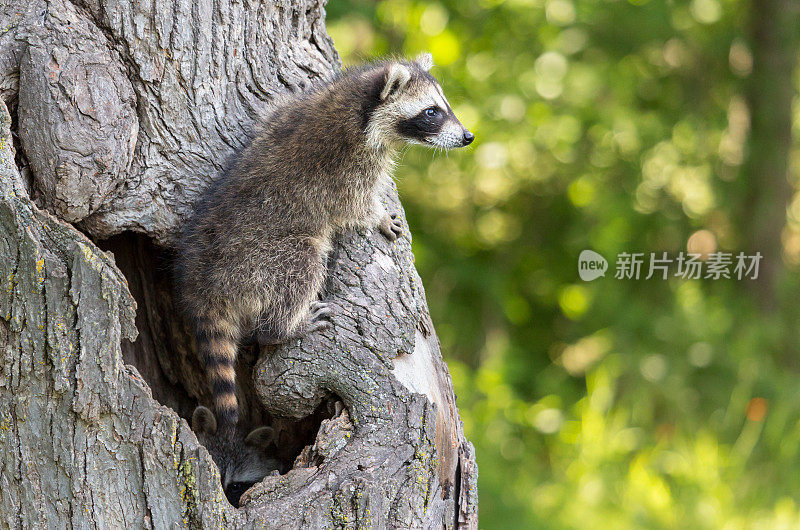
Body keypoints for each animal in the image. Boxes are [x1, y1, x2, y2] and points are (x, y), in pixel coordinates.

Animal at [175, 52, 472, 424]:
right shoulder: (344, 166)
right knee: (301, 263)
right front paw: (376, 215)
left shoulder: (288, 110)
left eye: (445, 105)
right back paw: (283, 327)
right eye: (432, 112)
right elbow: (352, 204)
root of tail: (203, 285)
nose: (468, 136)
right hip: (258, 260)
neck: (360, 104)